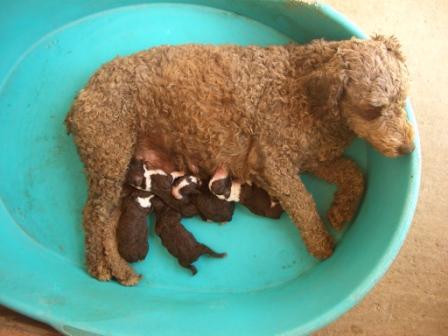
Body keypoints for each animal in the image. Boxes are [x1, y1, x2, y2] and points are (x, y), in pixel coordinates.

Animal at [65, 36, 412, 284]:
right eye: (373, 109)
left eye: (402, 100)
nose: (408, 148)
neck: (306, 90)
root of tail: (82, 96)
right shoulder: (275, 163)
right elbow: (303, 203)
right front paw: (320, 241)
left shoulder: (314, 159)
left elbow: (354, 172)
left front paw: (341, 211)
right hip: (110, 156)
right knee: (92, 218)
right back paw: (99, 266)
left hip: (119, 169)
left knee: (107, 222)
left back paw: (120, 269)